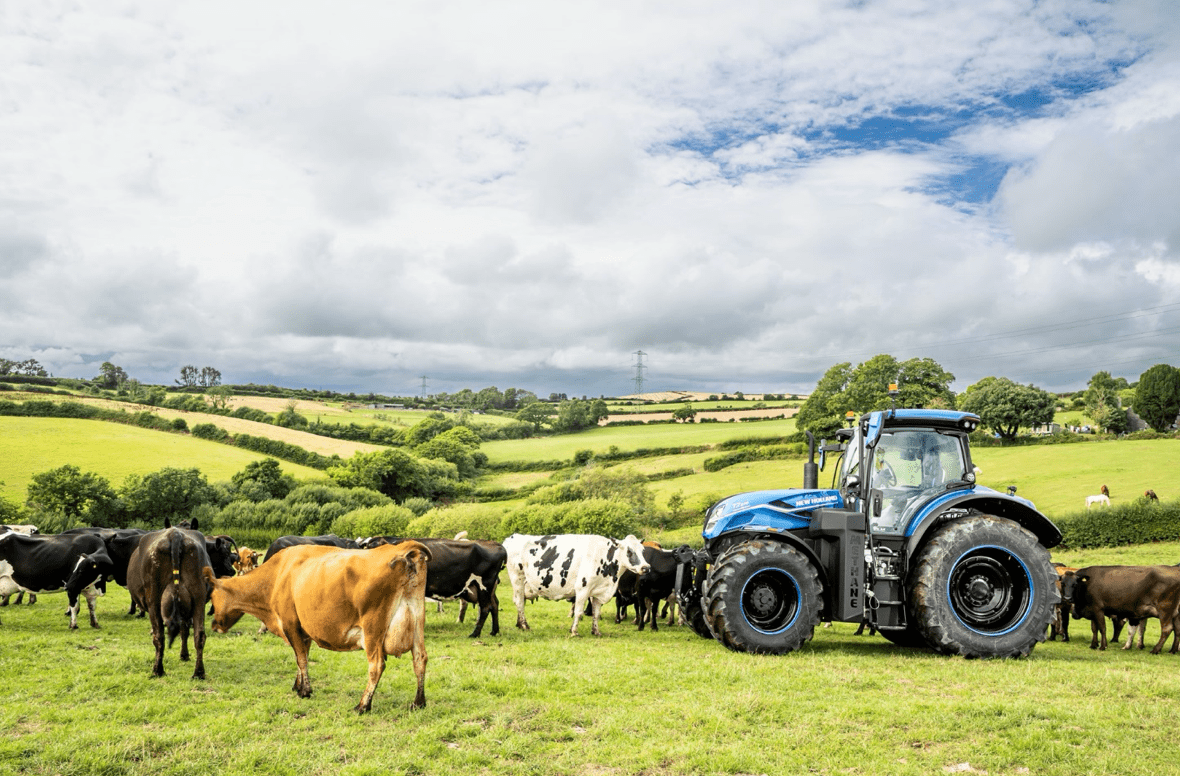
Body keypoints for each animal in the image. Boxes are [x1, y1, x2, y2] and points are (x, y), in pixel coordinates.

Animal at [205, 537, 431, 707]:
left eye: (213, 598)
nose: (214, 626)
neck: (278, 574)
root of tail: (402, 548)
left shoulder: (290, 625)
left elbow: (301, 659)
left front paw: (305, 690)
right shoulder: (303, 630)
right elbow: (302, 656)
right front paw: (298, 685)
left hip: (373, 628)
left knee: (376, 665)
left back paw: (363, 705)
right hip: (417, 620)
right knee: (420, 659)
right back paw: (418, 702)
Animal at [507, 533, 656, 636]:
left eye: (643, 550)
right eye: (629, 551)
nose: (646, 567)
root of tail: (514, 536)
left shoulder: (598, 592)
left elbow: (596, 613)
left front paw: (596, 631)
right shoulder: (582, 589)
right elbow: (578, 612)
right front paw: (574, 631)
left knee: (520, 602)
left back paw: (519, 624)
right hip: (517, 579)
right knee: (519, 602)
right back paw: (525, 625)